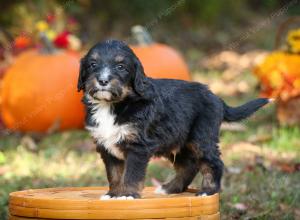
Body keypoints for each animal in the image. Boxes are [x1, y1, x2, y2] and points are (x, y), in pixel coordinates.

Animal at [77, 39, 270, 199]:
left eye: (120, 67)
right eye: (93, 64)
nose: (103, 80)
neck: (113, 105)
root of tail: (216, 97)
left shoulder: (138, 147)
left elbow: (131, 174)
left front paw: (127, 195)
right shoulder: (106, 146)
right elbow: (115, 174)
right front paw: (113, 194)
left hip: (201, 137)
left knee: (213, 163)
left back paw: (207, 191)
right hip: (176, 141)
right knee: (189, 166)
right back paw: (170, 188)